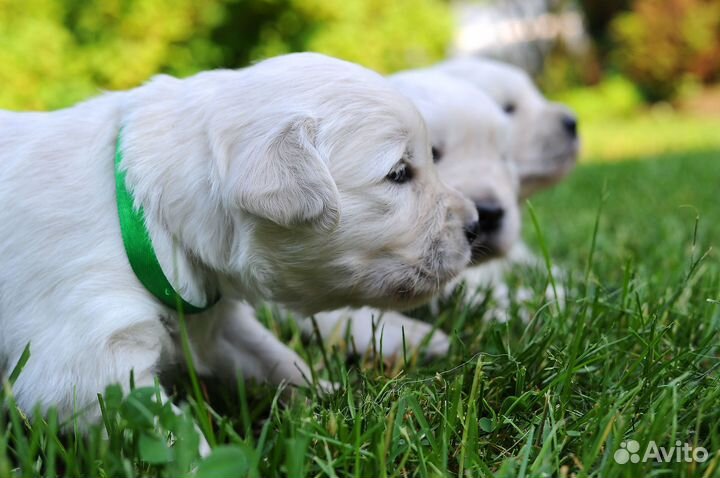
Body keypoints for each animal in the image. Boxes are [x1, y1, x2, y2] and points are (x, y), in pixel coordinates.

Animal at [0, 53, 480, 436]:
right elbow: (166, 429)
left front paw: (327, 399)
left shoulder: (212, 318)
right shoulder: (89, 358)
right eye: (398, 173)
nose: (476, 225)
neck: (146, 213)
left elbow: (273, 355)